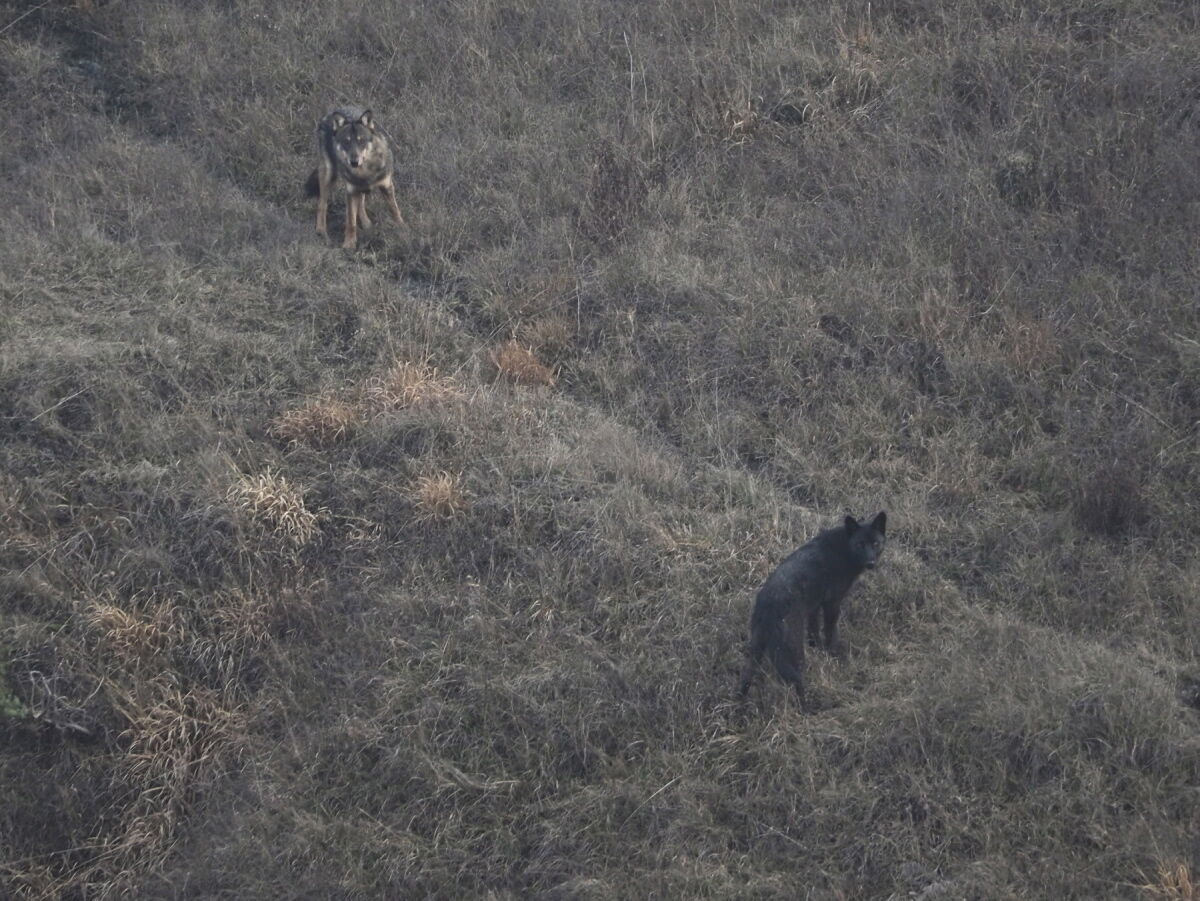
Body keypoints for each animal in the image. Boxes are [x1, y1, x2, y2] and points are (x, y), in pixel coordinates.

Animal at [305, 106, 404, 249]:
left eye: (361, 141)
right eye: (346, 143)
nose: (354, 162)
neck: (364, 172)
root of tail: (333, 111)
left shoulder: (386, 186)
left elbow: (394, 210)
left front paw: (402, 229)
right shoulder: (351, 191)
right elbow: (351, 221)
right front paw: (349, 244)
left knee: (361, 203)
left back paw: (367, 224)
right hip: (328, 176)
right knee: (322, 204)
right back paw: (321, 231)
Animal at [738, 511, 887, 708]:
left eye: (875, 543)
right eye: (860, 544)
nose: (871, 563)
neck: (843, 549)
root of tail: (768, 607)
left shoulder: (814, 607)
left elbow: (814, 631)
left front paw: (818, 649)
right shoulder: (831, 603)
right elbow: (830, 632)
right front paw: (833, 655)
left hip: (757, 650)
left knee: (746, 677)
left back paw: (739, 706)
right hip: (793, 652)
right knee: (797, 681)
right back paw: (808, 708)